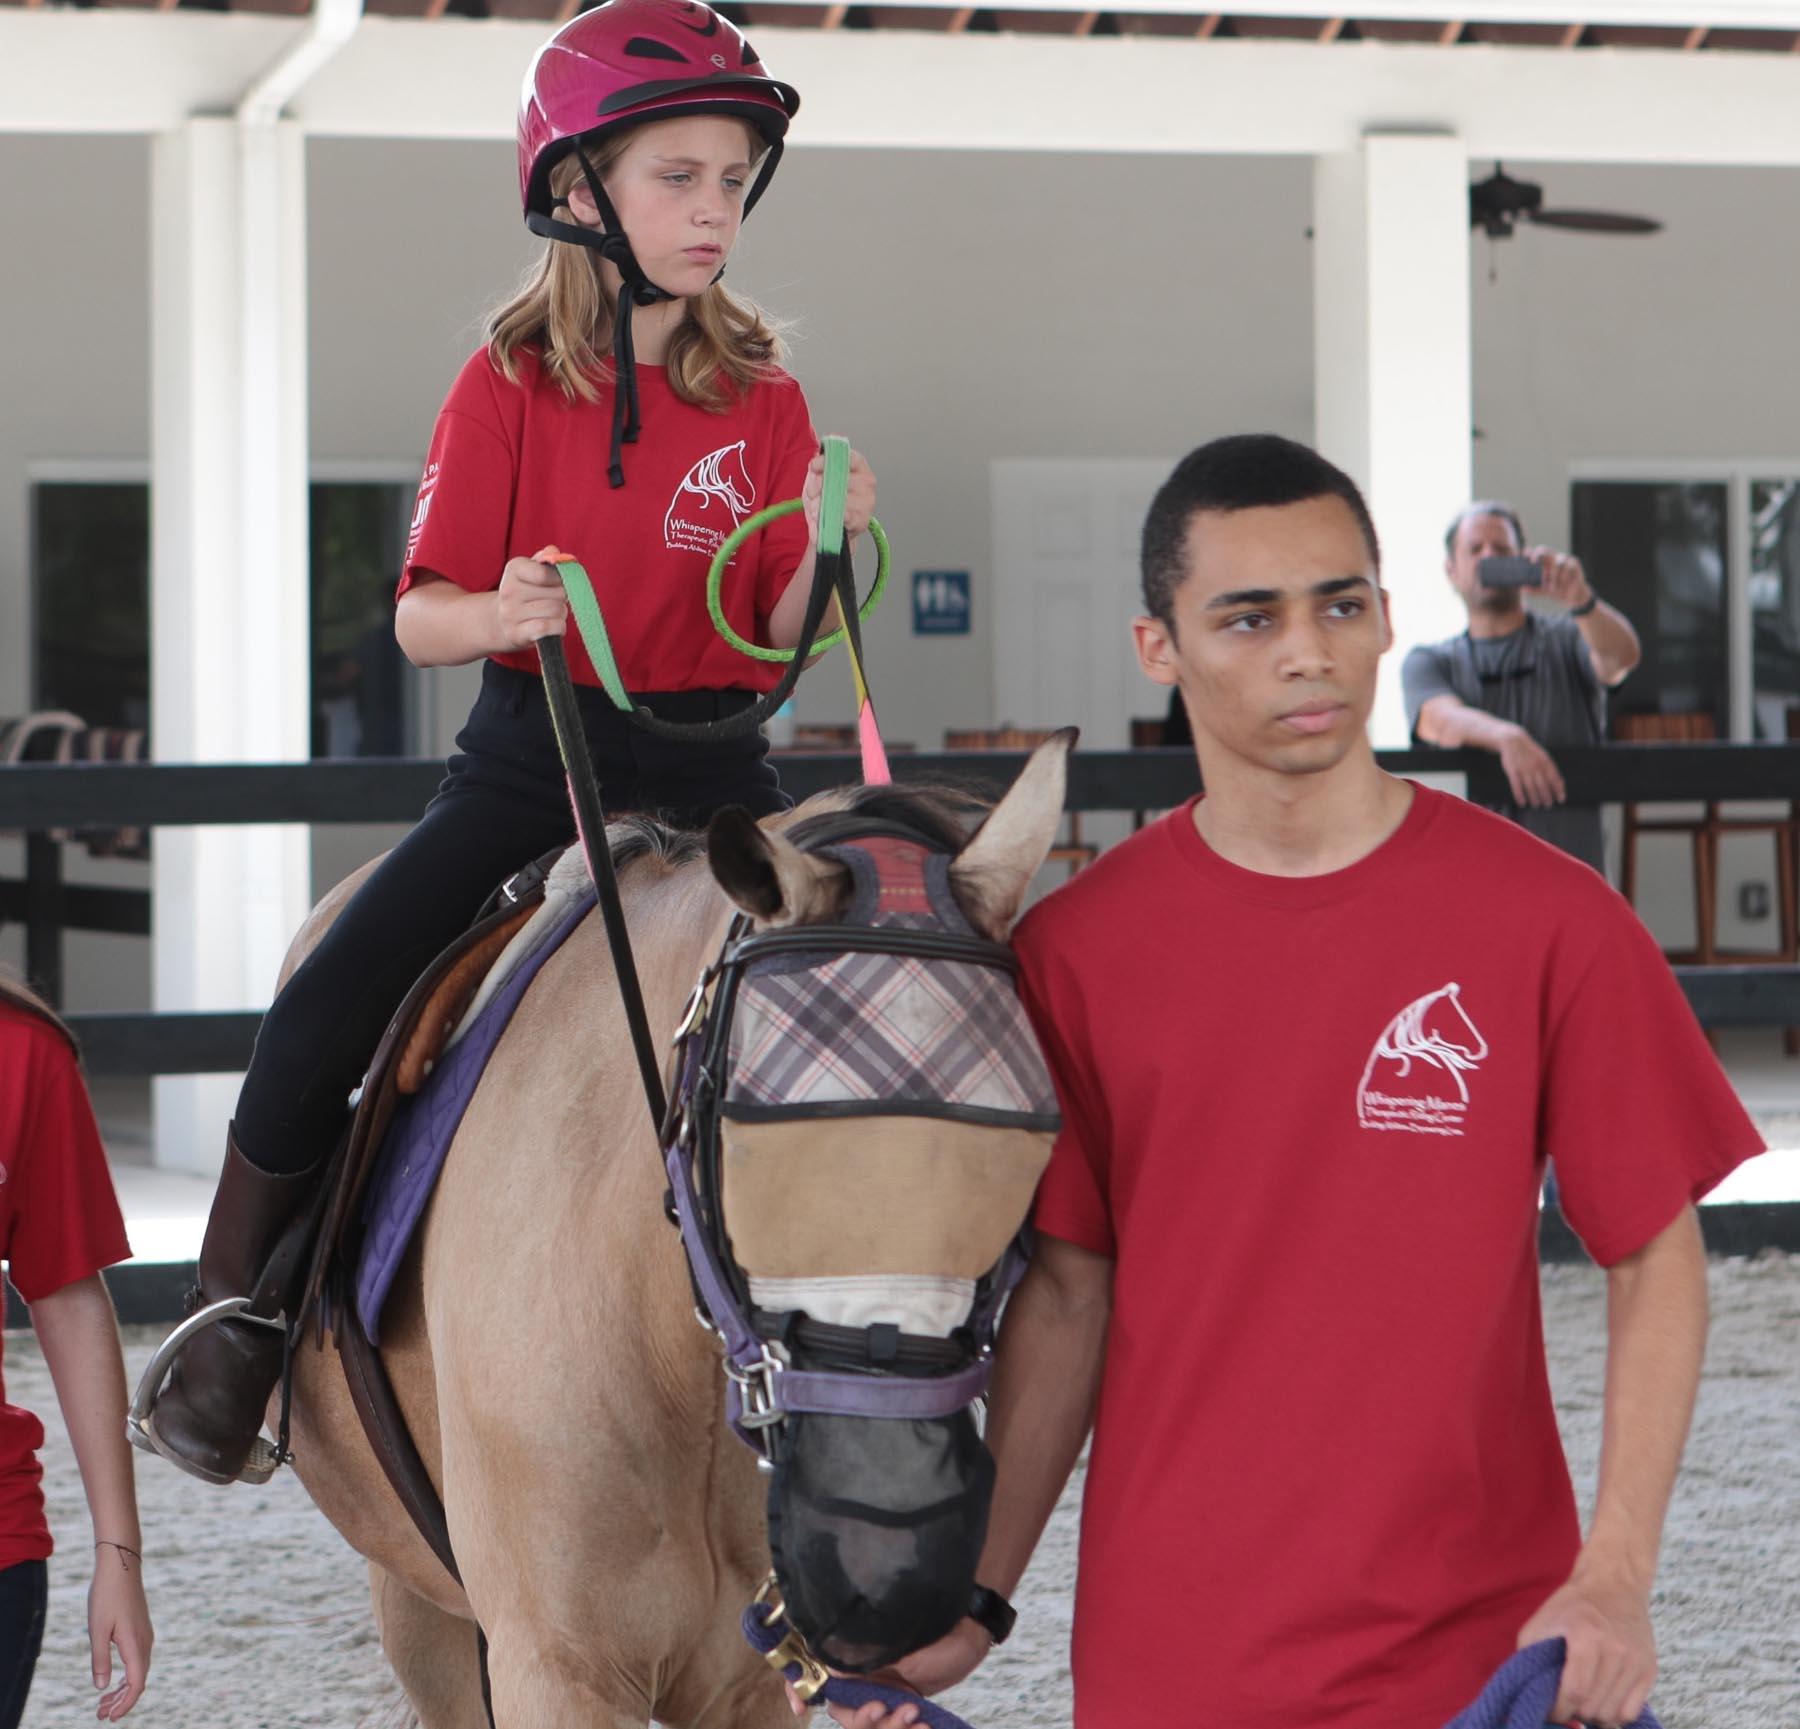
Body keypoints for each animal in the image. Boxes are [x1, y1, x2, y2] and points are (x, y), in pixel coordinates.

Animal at [273, 736, 1072, 1728]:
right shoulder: (558, 1671)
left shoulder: (753, 1685)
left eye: (1031, 1140)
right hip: (416, 1600)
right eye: (753, 1128)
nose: (886, 1540)